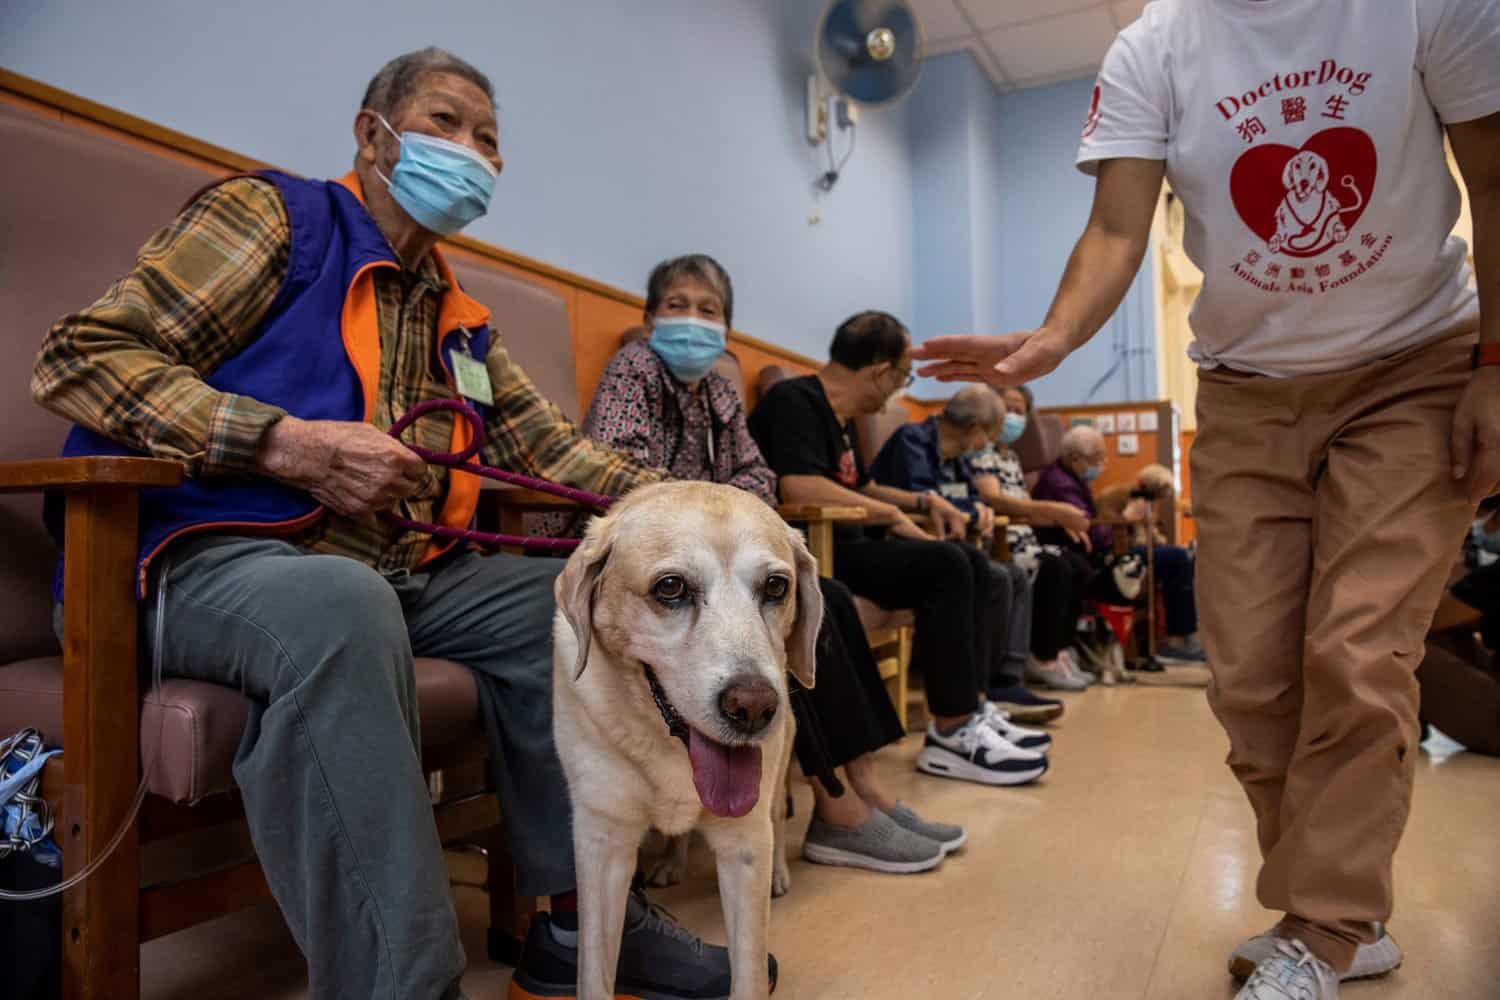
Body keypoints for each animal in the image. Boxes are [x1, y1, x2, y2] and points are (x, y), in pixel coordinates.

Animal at [552, 479, 822, 995]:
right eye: (671, 587)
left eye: (776, 586)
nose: (754, 708)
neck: (667, 743)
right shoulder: (601, 840)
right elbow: (593, 972)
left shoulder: (744, 846)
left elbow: (749, 975)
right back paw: (672, 863)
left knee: (778, 815)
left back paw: (778, 873)